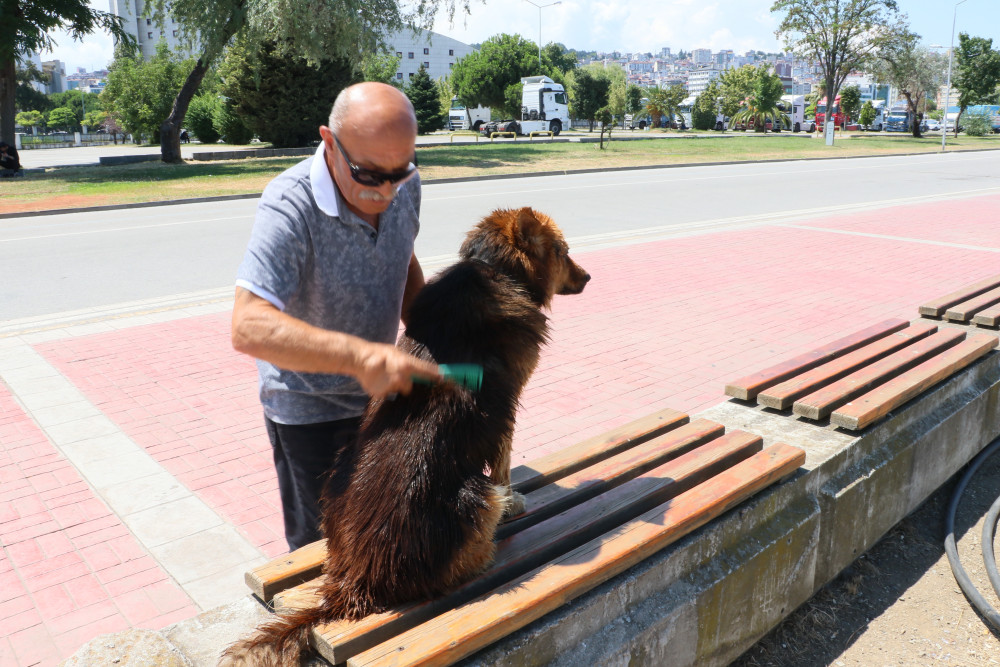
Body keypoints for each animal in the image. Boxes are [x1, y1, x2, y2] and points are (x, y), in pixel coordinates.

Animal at [221, 209, 584, 667]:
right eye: (563, 252)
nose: (588, 277)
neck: (495, 269)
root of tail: (357, 579)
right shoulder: (508, 406)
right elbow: (502, 469)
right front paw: (515, 501)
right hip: (476, 499)